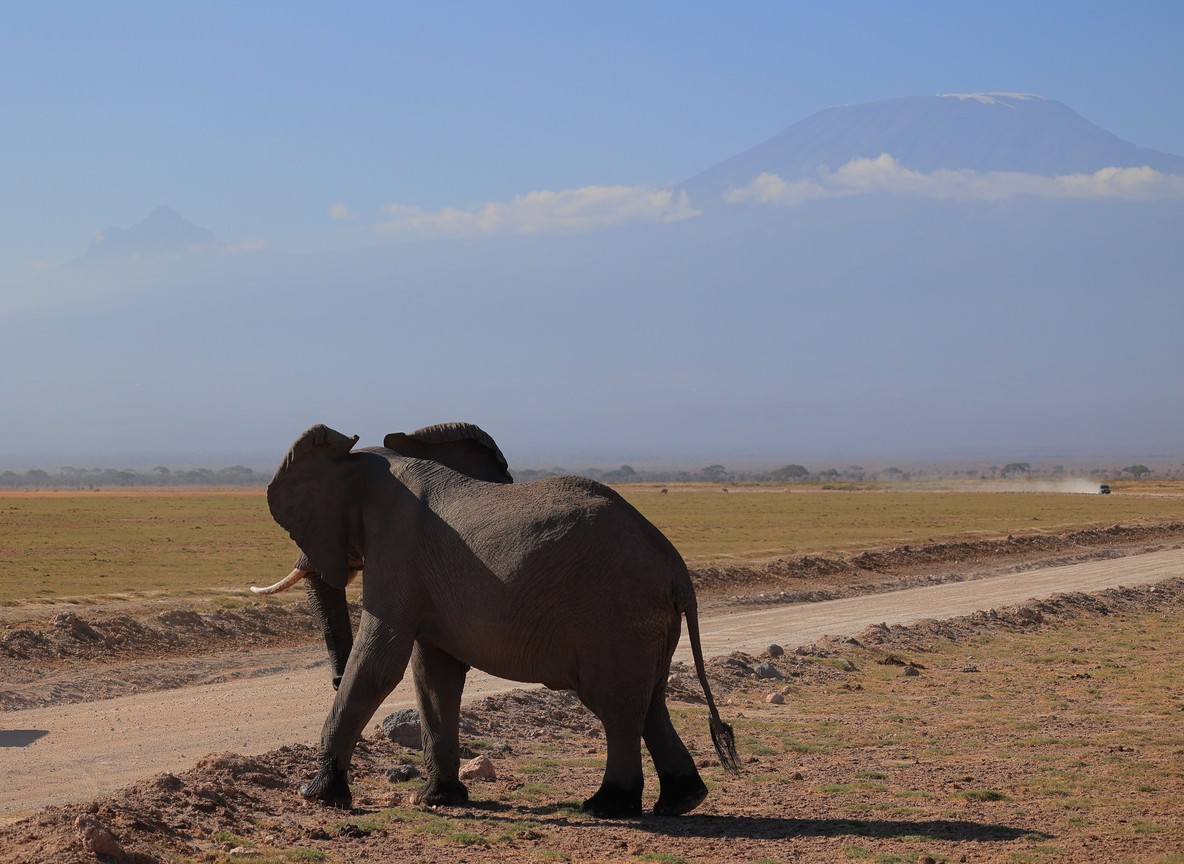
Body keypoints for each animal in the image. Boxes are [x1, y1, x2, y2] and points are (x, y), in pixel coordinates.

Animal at [265, 422, 739, 818]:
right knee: (650, 702)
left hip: (618, 618)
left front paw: (315, 794)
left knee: (617, 707)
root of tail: (676, 568)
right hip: (648, 624)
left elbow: (381, 664)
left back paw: (605, 807)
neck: (372, 459)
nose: (333, 678)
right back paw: (683, 801)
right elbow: (434, 673)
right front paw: (437, 800)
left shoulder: (396, 553)